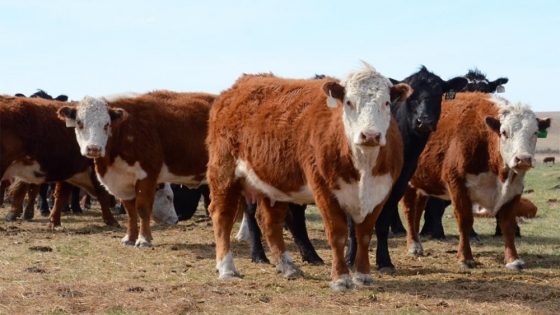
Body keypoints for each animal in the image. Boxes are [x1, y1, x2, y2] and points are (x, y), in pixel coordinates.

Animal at [0, 95, 118, 227]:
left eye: (106, 124)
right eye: (79, 123)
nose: (94, 149)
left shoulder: (68, 169)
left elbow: (61, 195)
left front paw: (54, 220)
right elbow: (102, 193)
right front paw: (111, 220)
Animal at [58, 90, 217, 248]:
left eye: (106, 124)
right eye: (80, 123)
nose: (94, 148)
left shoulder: (146, 176)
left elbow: (142, 208)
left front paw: (144, 239)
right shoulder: (123, 182)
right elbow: (130, 211)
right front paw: (129, 237)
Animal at [206, 61, 412, 292]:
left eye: (386, 103)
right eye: (349, 102)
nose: (370, 135)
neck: (363, 168)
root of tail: (236, 88)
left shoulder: (380, 192)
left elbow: (365, 234)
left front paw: (363, 274)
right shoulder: (324, 189)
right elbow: (338, 234)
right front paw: (341, 278)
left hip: (275, 184)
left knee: (269, 221)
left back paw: (287, 266)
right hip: (223, 173)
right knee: (222, 215)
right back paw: (227, 268)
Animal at [402, 92, 552, 272]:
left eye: (535, 132)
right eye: (504, 132)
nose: (523, 159)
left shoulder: (514, 190)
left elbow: (508, 225)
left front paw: (513, 259)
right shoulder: (458, 185)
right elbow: (465, 221)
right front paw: (465, 258)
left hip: (424, 183)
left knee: (418, 210)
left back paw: (417, 243)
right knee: (409, 210)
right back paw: (413, 246)